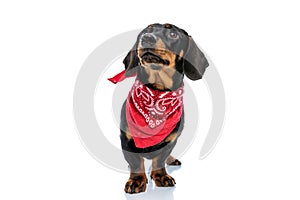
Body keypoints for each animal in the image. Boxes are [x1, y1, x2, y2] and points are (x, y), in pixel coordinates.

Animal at [119, 23, 209, 194]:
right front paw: (136, 180)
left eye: (173, 34)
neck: (157, 92)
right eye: (146, 31)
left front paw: (161, 176)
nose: (146, 38)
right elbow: (135, 163)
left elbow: (159, 160)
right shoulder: (126, 139)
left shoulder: (171, 140)